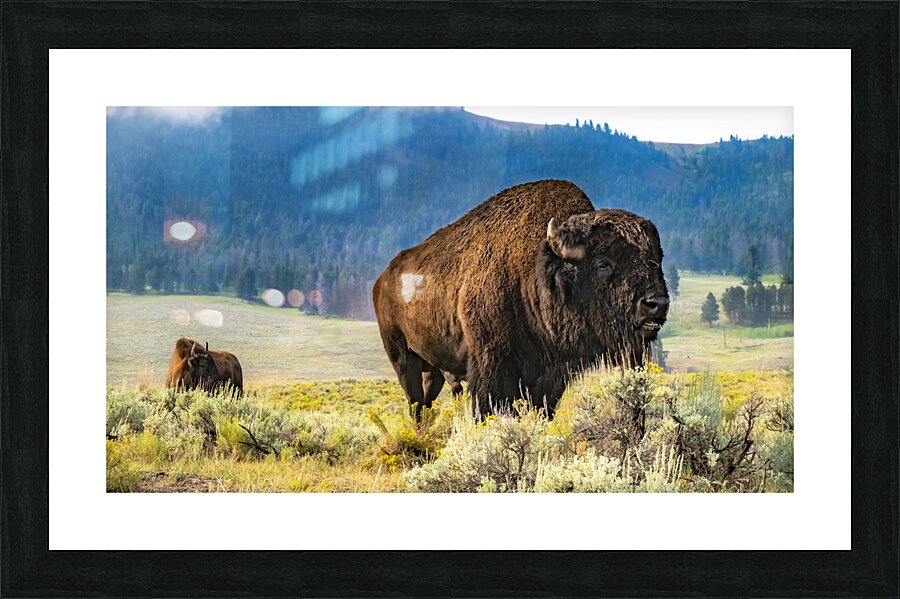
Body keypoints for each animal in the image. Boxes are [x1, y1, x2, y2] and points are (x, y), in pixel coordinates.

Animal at [372, 180, 668, 419]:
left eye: (657, 260)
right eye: (603, 264)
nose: (657, 304)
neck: (535, 271)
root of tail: (382, 279)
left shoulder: (551, 376)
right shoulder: (492, 364)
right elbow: (489, 408)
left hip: (432, 368)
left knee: (425, 401)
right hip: (402, 356)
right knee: (414, 402)